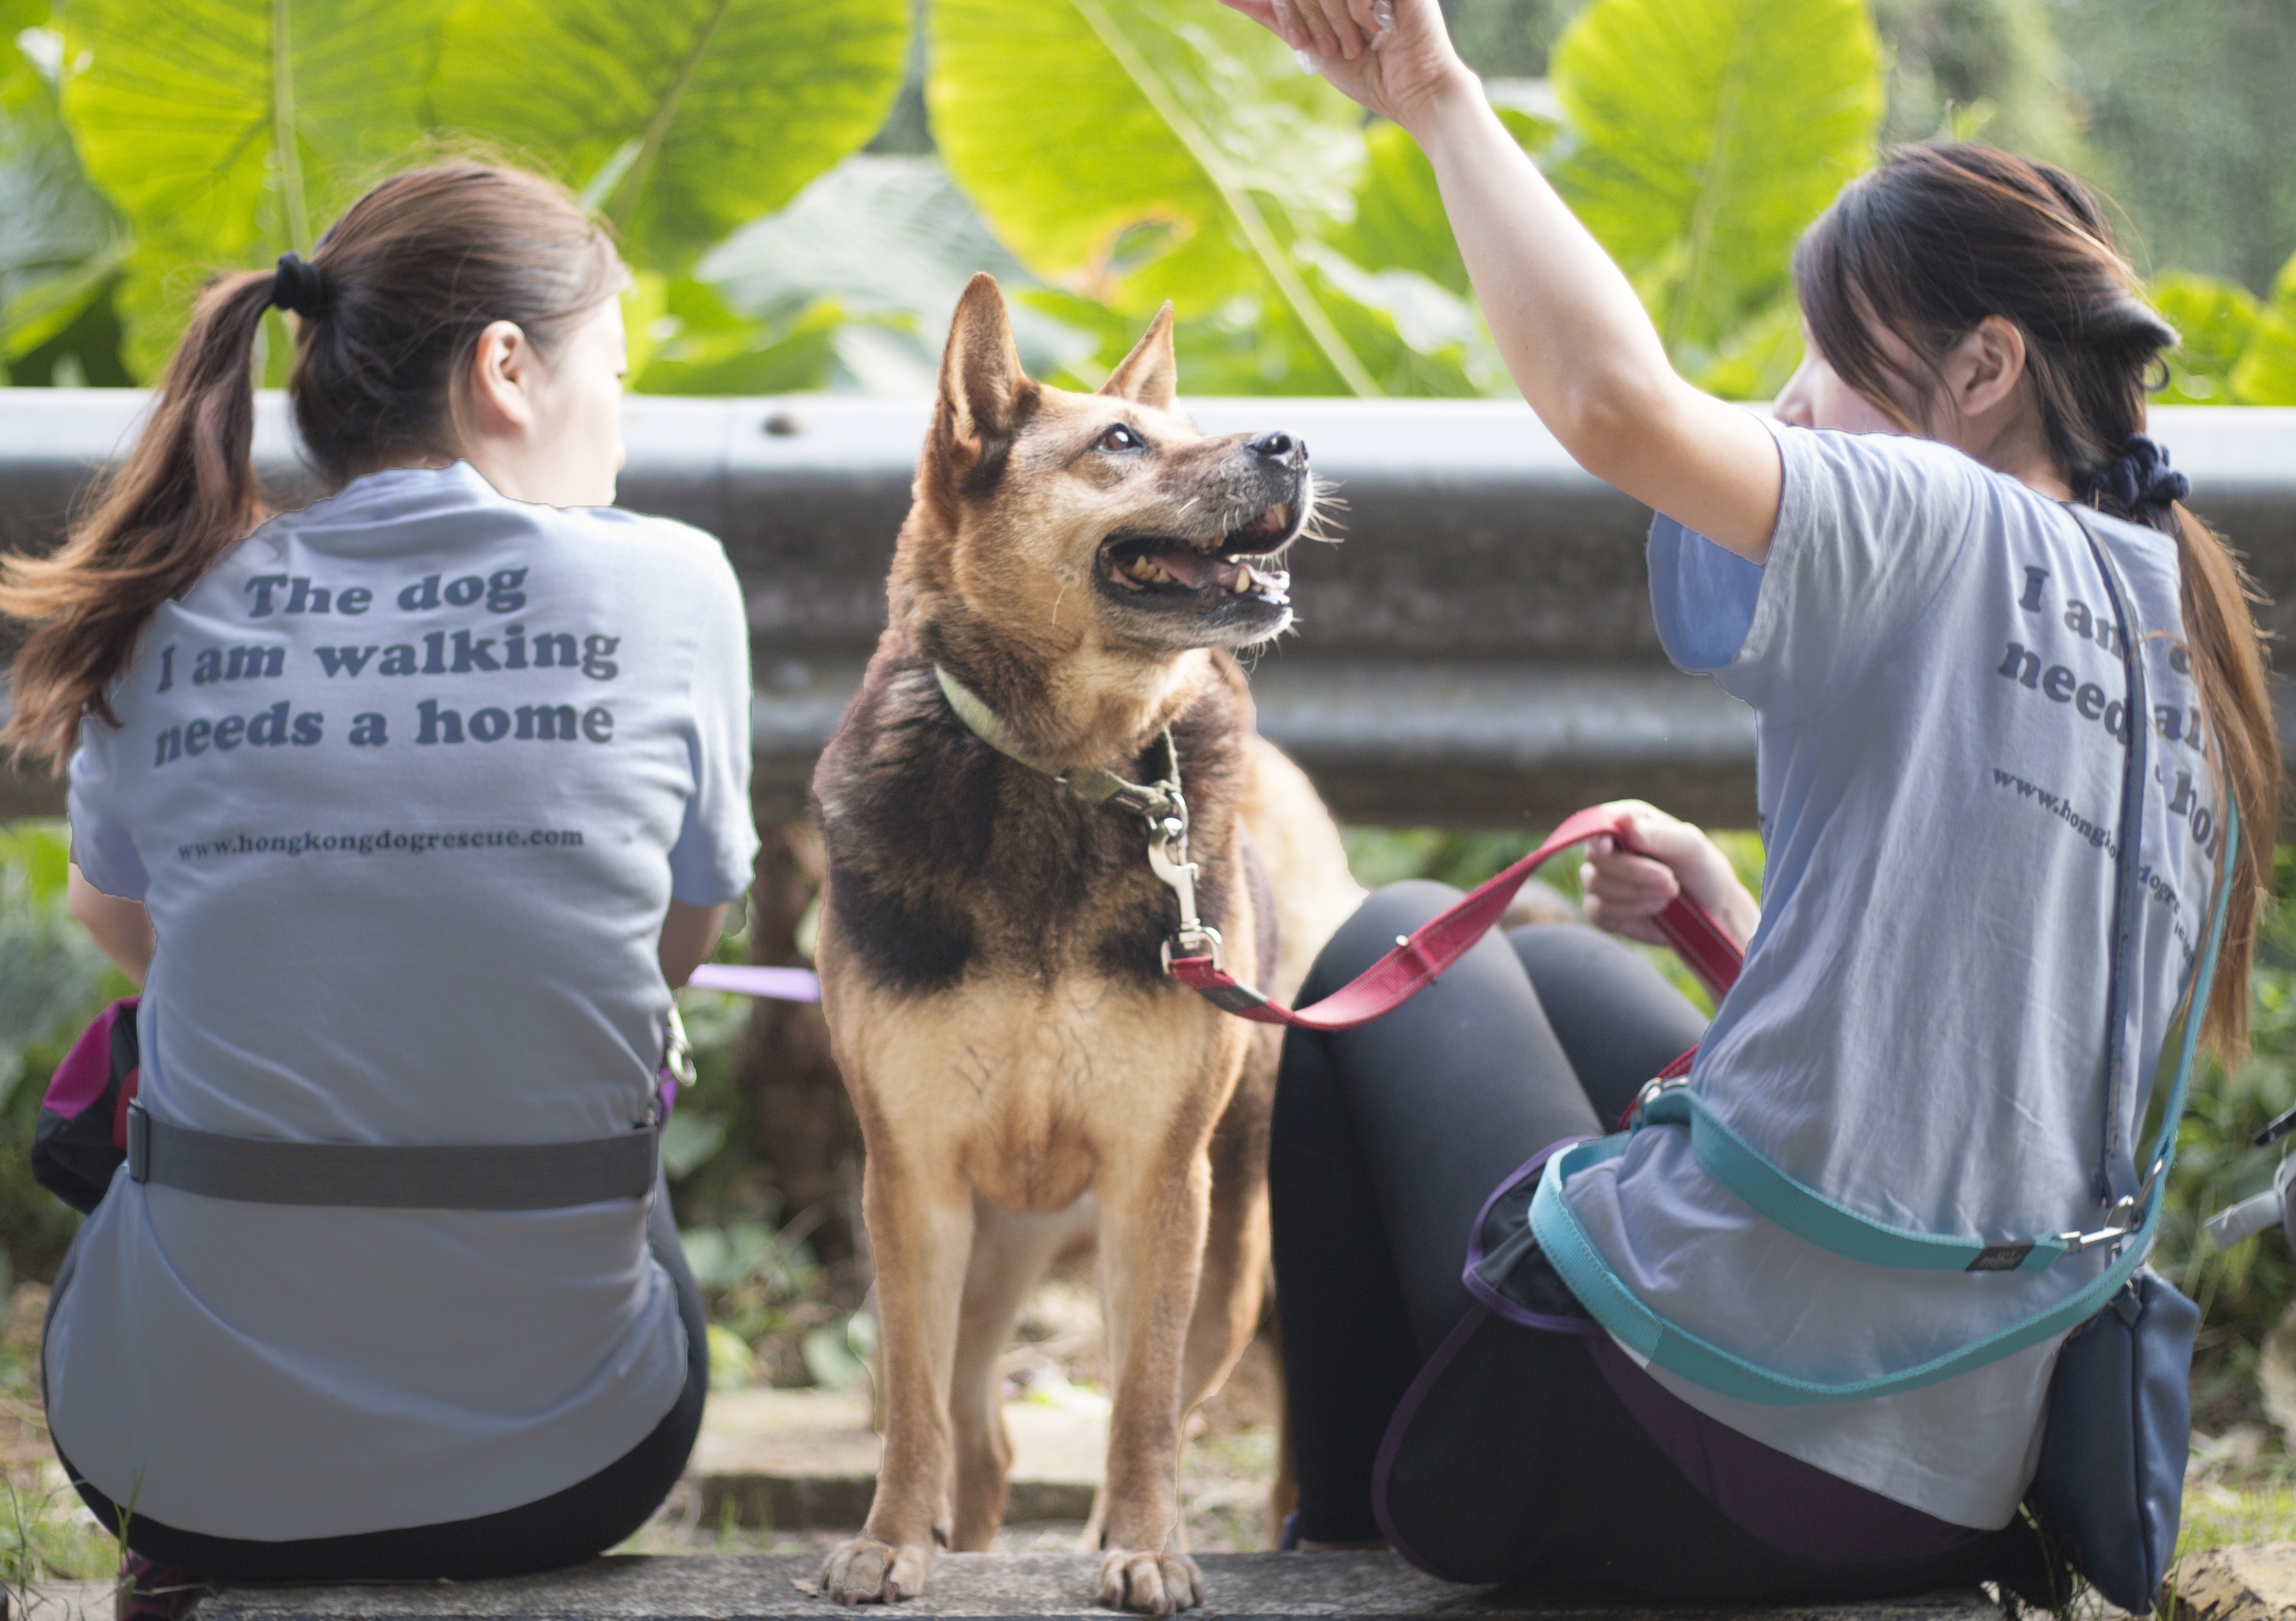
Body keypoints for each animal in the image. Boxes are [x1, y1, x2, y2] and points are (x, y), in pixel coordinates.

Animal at [808, 278, 1350, 1607]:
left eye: (1190, 426)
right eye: (1120, 442)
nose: (1295, 443)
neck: (1068, 766)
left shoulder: (1161, 1181)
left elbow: (1142, 1405)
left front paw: (1147, 1544)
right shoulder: (912, 1179)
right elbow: (912, 1408)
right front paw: (891, 1540)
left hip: (1231, 1251)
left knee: (1193, 1407)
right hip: (988, 1245)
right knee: (976, 1424)